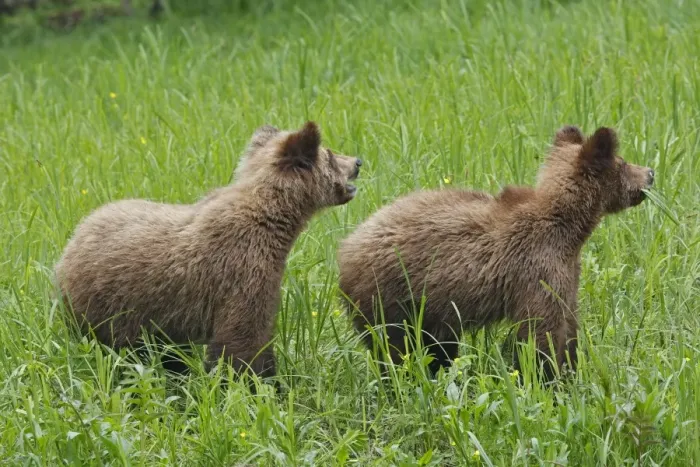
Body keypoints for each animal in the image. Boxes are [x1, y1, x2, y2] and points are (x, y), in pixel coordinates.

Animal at [55, 121, 362, 379]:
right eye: (330, 154)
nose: (358, 161)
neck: (276, 222)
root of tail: (70, 244)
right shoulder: (242, 271)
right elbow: (242, 340)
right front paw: (257, 382)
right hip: (110, 304)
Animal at [337, 126, 654, 381]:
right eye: (623, 162)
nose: (650, 172)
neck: (568, 229)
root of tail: (345, 247)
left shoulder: (566, 268)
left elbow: (569, 320)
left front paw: (571, 369)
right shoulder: (535, 268)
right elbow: (541, 330)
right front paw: (548, 378)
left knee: (437, 346)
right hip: (390, 295)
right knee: (396, 347)